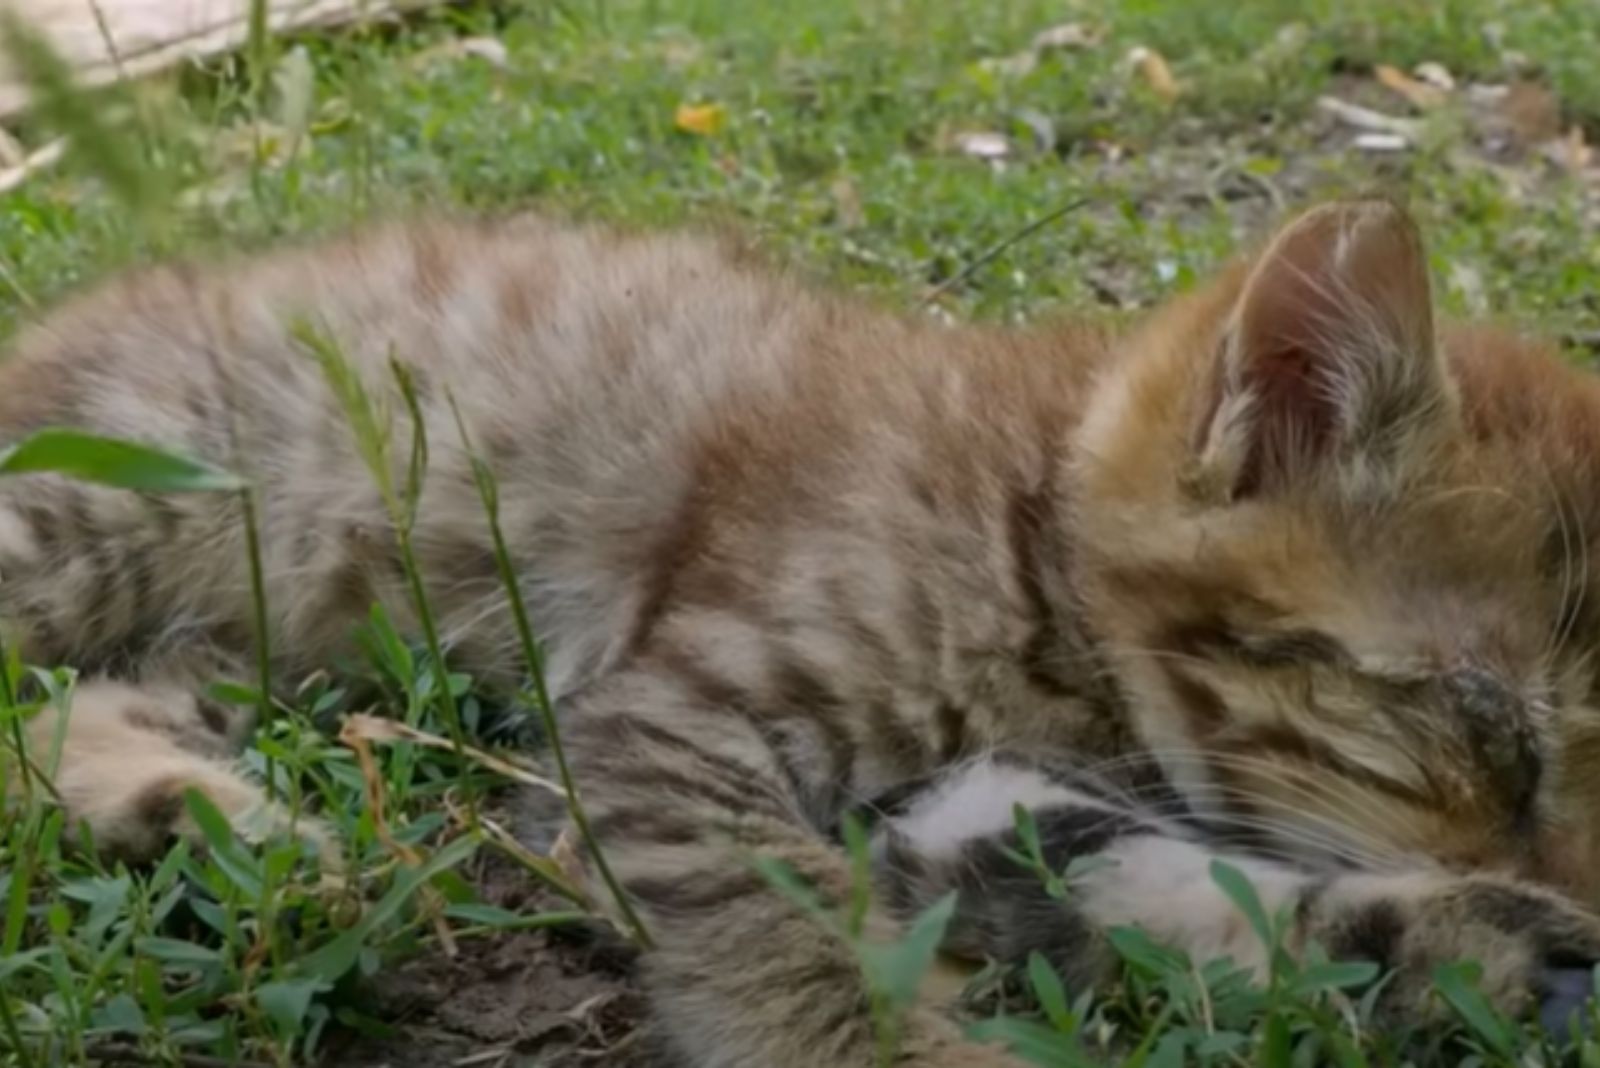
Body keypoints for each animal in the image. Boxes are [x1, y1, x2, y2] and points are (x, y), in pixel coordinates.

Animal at [3, 199, 1600, 1068]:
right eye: (1491, 733)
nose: (1570, 876)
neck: (1024, 521)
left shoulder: (977, 797)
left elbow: (1172, 880)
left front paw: (1462, 940)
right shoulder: (666, 723)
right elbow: (786, 935)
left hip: (246, 630)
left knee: (71, 707)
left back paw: (197, 814)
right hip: (96, 505)